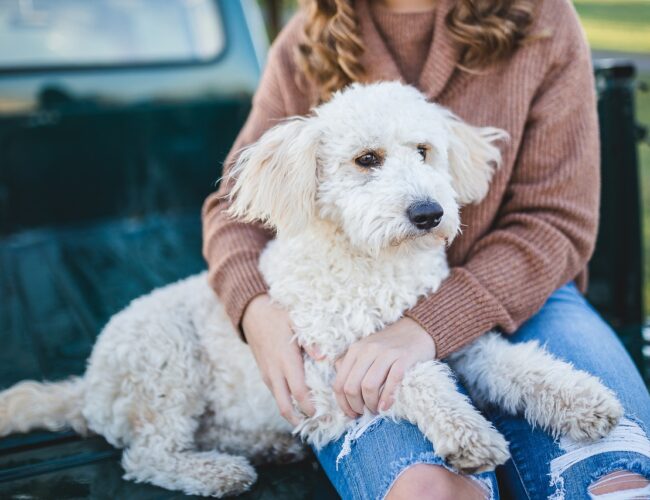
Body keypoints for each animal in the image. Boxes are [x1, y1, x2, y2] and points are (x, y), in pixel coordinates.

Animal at [0, 82, 620, 496]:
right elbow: (416, 379)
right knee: (147, 455)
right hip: (165, 361)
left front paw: (584, 401)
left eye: (424, 150)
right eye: (366, 160)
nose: (429, 212)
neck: (373, 263)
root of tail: (87, 386)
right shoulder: (332, 369)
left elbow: (521, 366)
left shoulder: (457, 340)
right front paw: (467, 432)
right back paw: (214, 471)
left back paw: (269, 446)